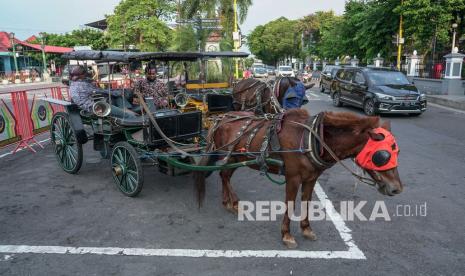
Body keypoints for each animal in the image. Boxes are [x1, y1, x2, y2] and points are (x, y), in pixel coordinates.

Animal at [193, 109, 402, 248]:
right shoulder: (293, 177)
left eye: (396, 151)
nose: (397, 188)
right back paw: (232, 202)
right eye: (381, 156)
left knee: (224, 175)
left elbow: (307, 201)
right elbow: (290, 203)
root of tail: (220, 119)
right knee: (224, 175)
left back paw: (229, 202)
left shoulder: (311, 178)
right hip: (229, 156)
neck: (312, 139)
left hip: (236, 158)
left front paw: (306, 229)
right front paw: (286, 234)